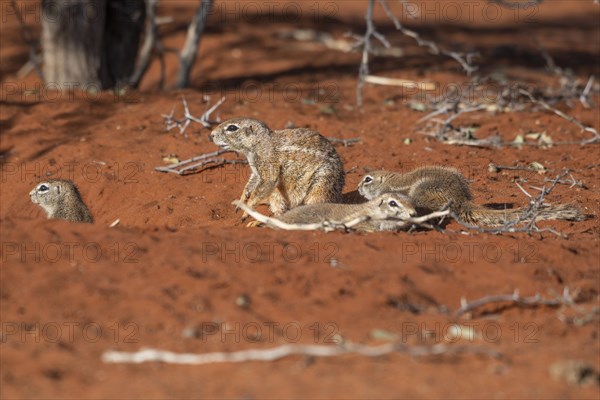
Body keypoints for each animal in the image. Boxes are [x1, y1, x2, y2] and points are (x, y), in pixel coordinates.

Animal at [210, 118, 344, 217]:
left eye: (232, 128)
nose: (210, 135)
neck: (260, 142)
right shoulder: (256, 171)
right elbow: (250, 184)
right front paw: (241, 200)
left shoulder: (267, 164)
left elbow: (265, 183)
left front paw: (247, 209)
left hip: (321, 185)